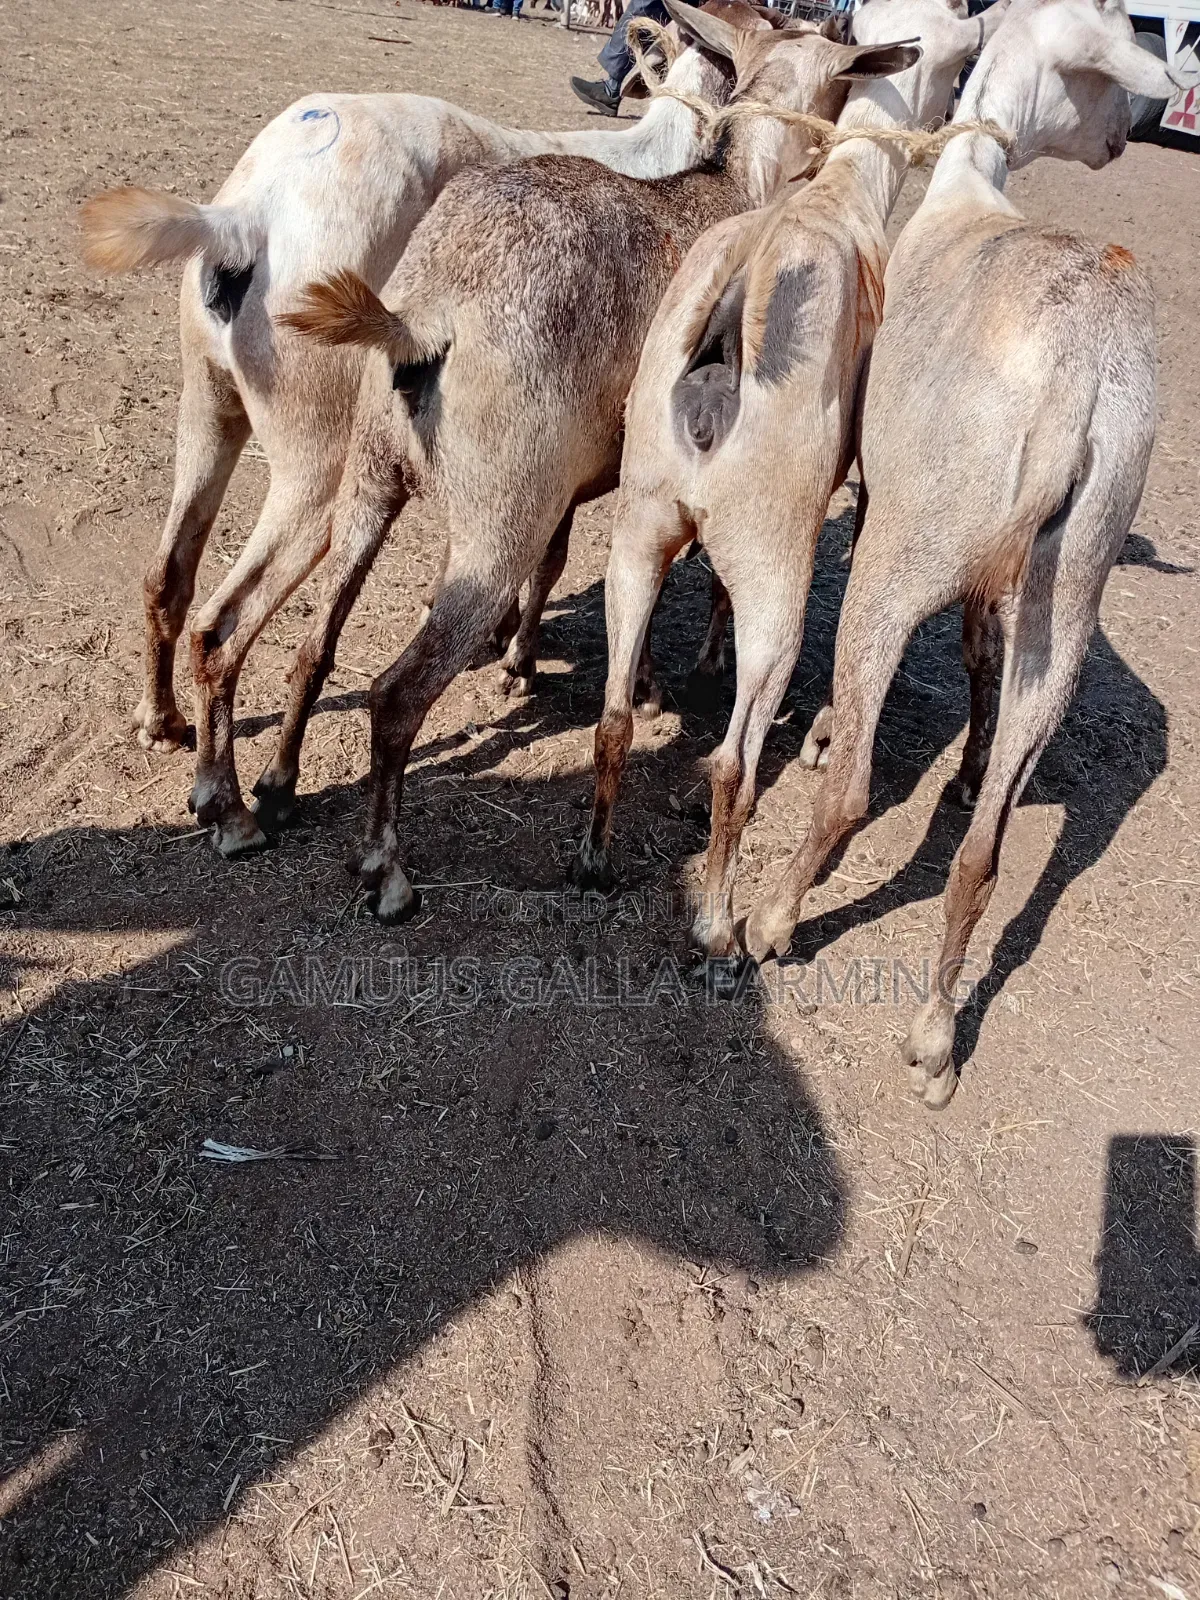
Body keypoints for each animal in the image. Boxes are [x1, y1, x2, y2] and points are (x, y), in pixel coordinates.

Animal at [277, 1, 922, 920]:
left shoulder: (576, 481)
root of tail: (429, 311)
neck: (736, 179)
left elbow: (556, 569)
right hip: (498, 513)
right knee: (397, 691)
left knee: (314, 643)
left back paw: (271, 790)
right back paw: (383, 867)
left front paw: (522, 659)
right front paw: (642, 681)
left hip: (375, 477)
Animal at [574, 0, 1006, 962]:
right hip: (778, 569)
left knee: (614, 717)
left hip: (640, 532)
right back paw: (719, 927)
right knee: (733, 764)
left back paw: (594, 859)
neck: (830, 192)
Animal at [743, 0, 1180, 1107]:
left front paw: (821, 733)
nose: (1126, 136)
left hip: (909, 552)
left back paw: (772, 920)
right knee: (985, 852)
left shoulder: (883, 496)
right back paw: (936, 1037)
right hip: (1066, 597)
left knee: (853, 789)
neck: (966, 188)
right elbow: (981, 658)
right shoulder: (1003, 581)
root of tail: (1077, 376)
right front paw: (971, 759)